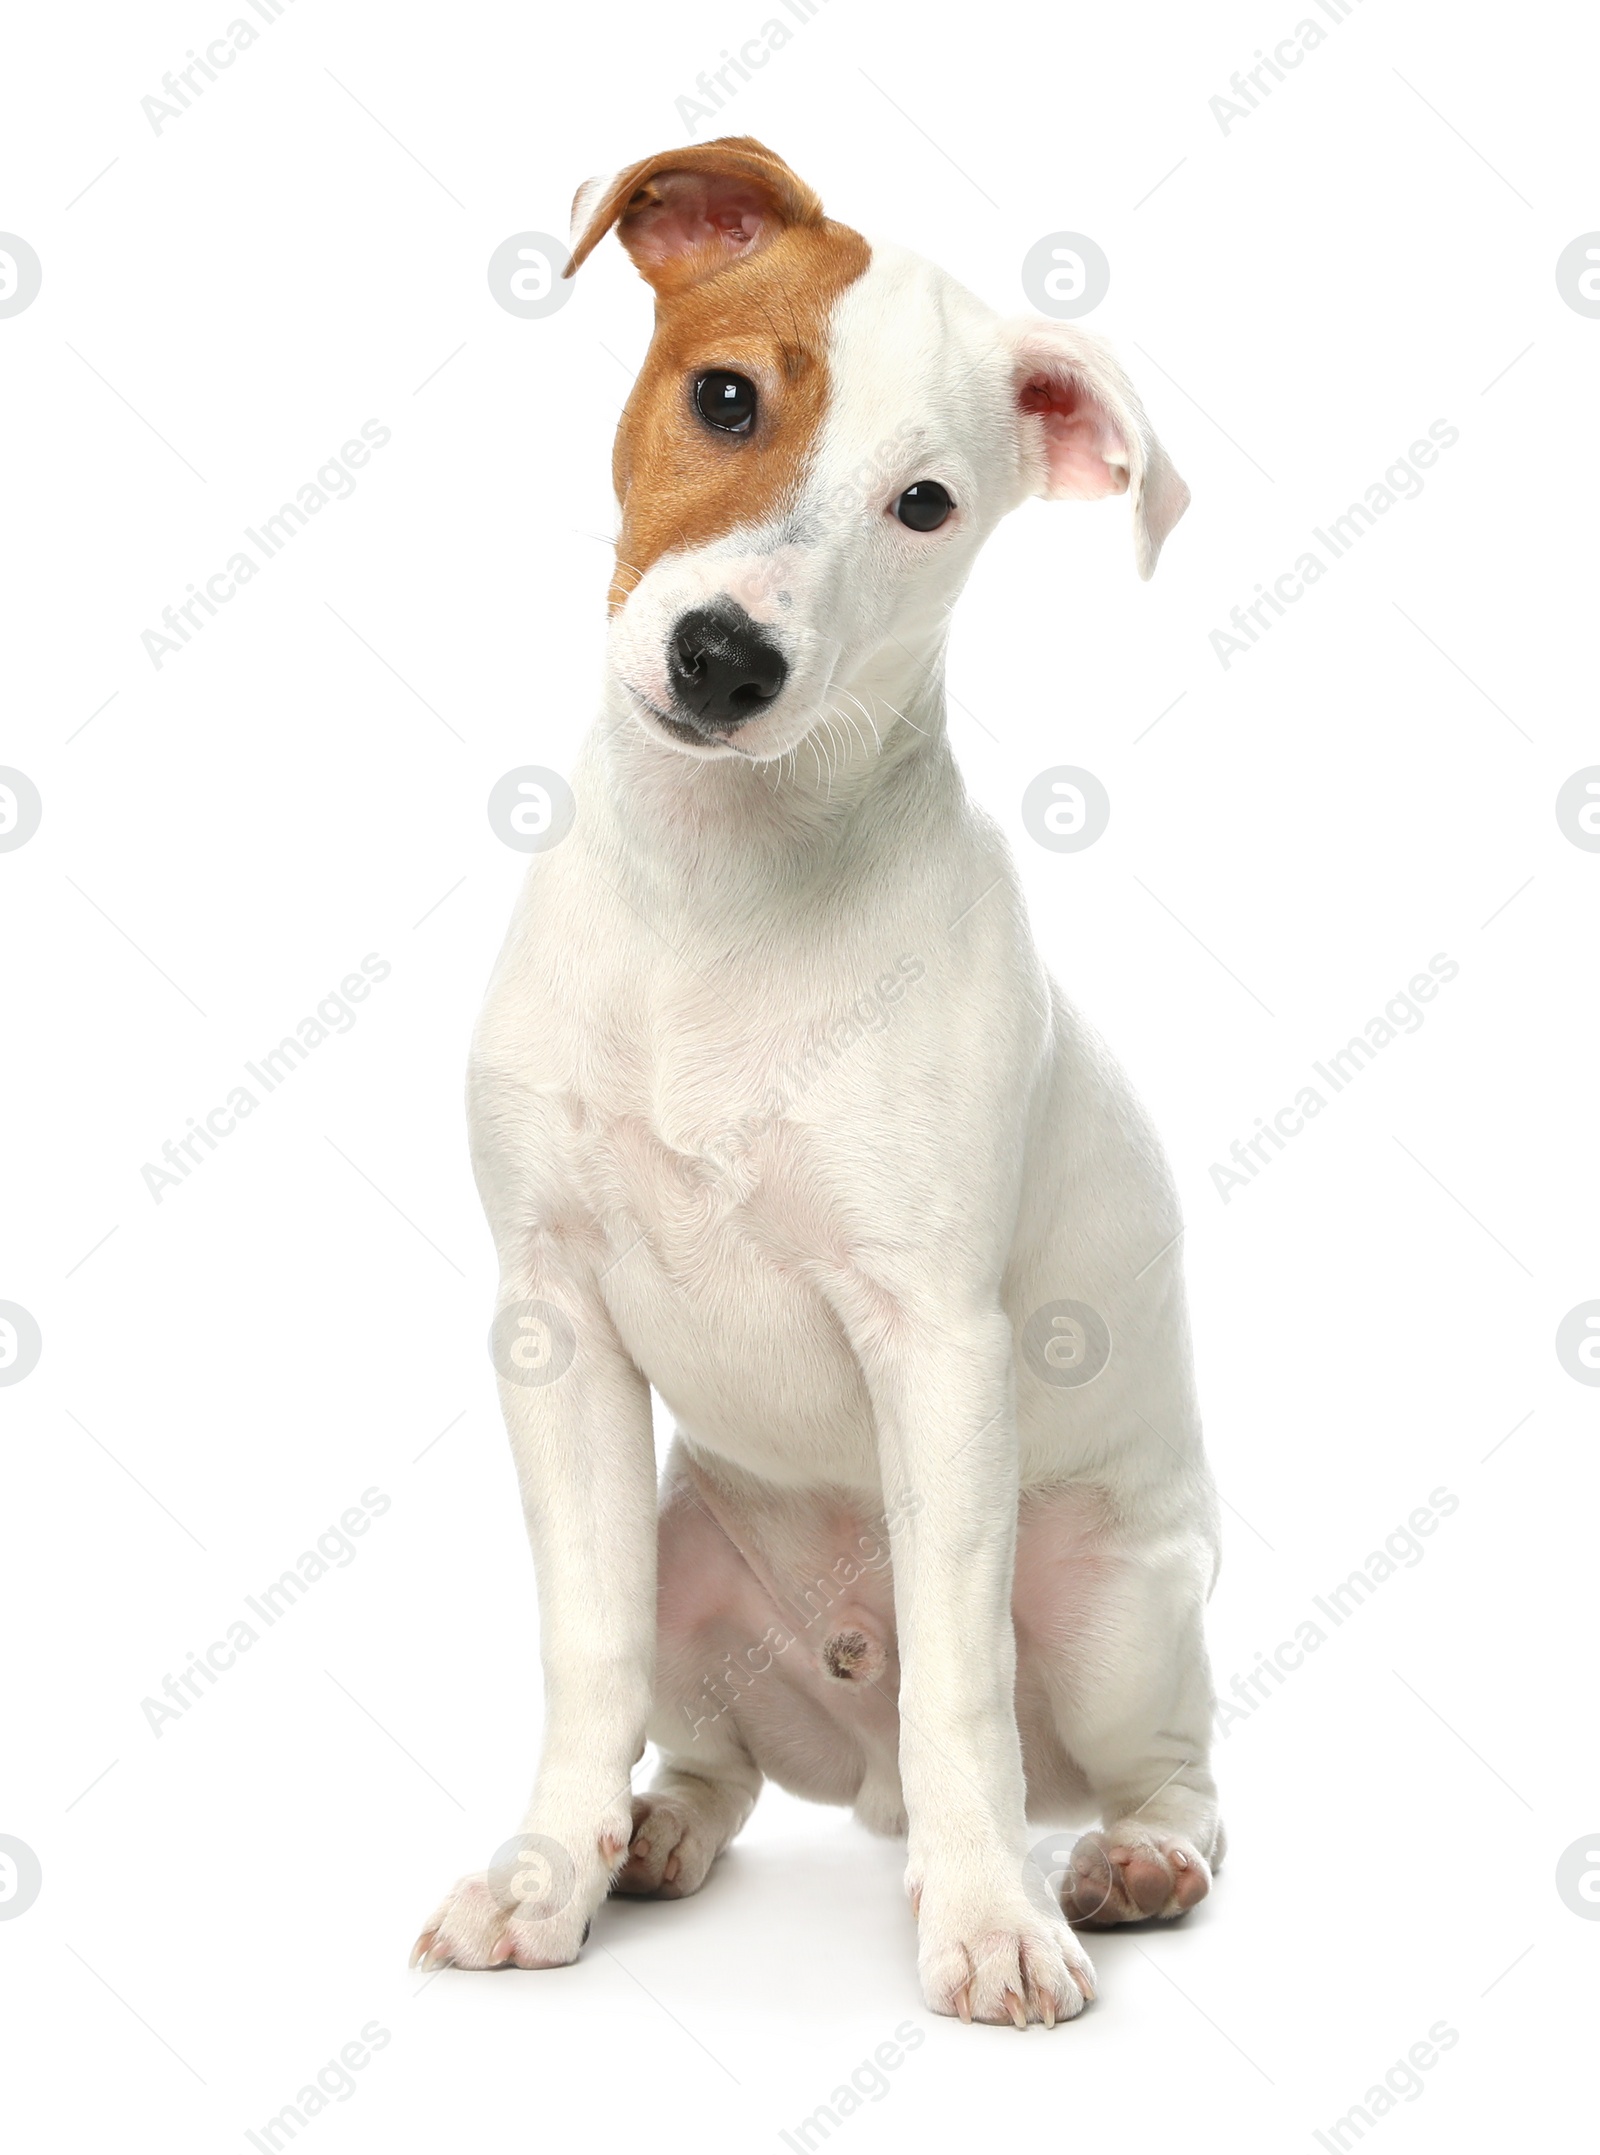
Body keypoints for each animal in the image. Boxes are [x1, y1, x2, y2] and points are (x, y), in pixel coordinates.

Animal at [416, 134, 1224, 2017]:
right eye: (726, 396)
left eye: (926, 506)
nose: (728, 659)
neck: (718, 892)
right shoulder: (552, 1323)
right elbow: (585, 1648)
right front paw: (545, 1871)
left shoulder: (938, 1347)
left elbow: (960, 1685)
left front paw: (991, 1921)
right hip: (693, 1553)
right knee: (711, 1748)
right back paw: (655, 1833)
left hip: (1115, 1598)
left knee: (1151, 1760)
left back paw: (1121, 1862)